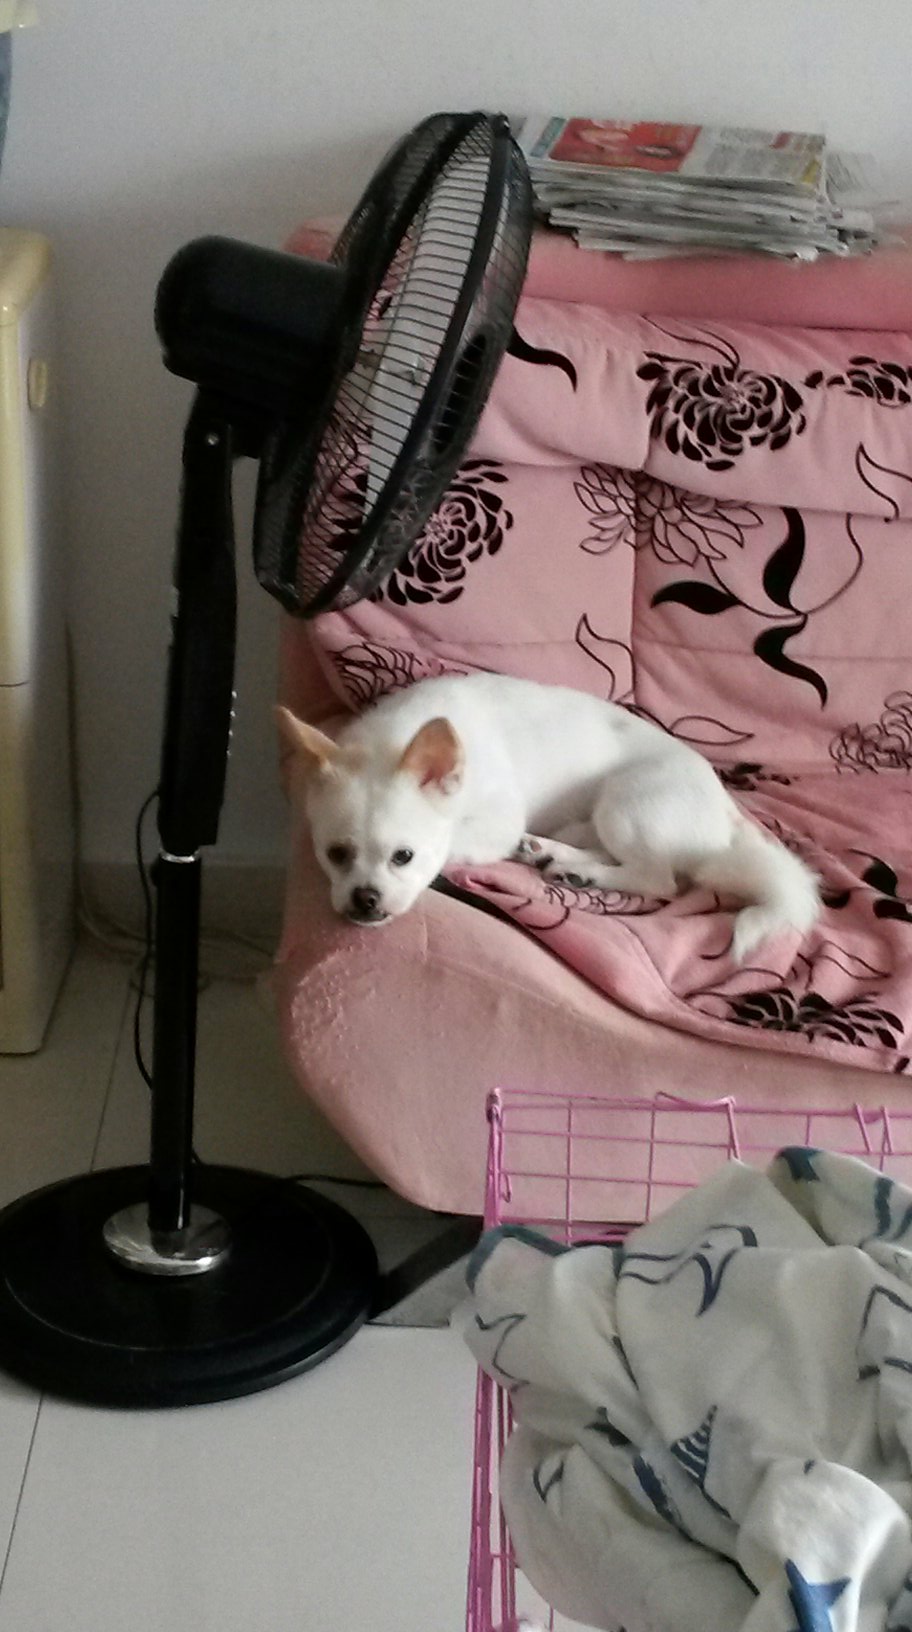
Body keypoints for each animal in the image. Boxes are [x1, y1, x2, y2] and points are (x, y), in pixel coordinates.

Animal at [277, 673, 820, 961]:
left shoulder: (495, 823)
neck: (394, 739)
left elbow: (456, 845)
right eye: (336, 855)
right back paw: (556, 855)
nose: (364, 900)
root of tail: (726, 817)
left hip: (626, 802)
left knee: (659, 879)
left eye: (403, 857)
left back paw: (584, 871)